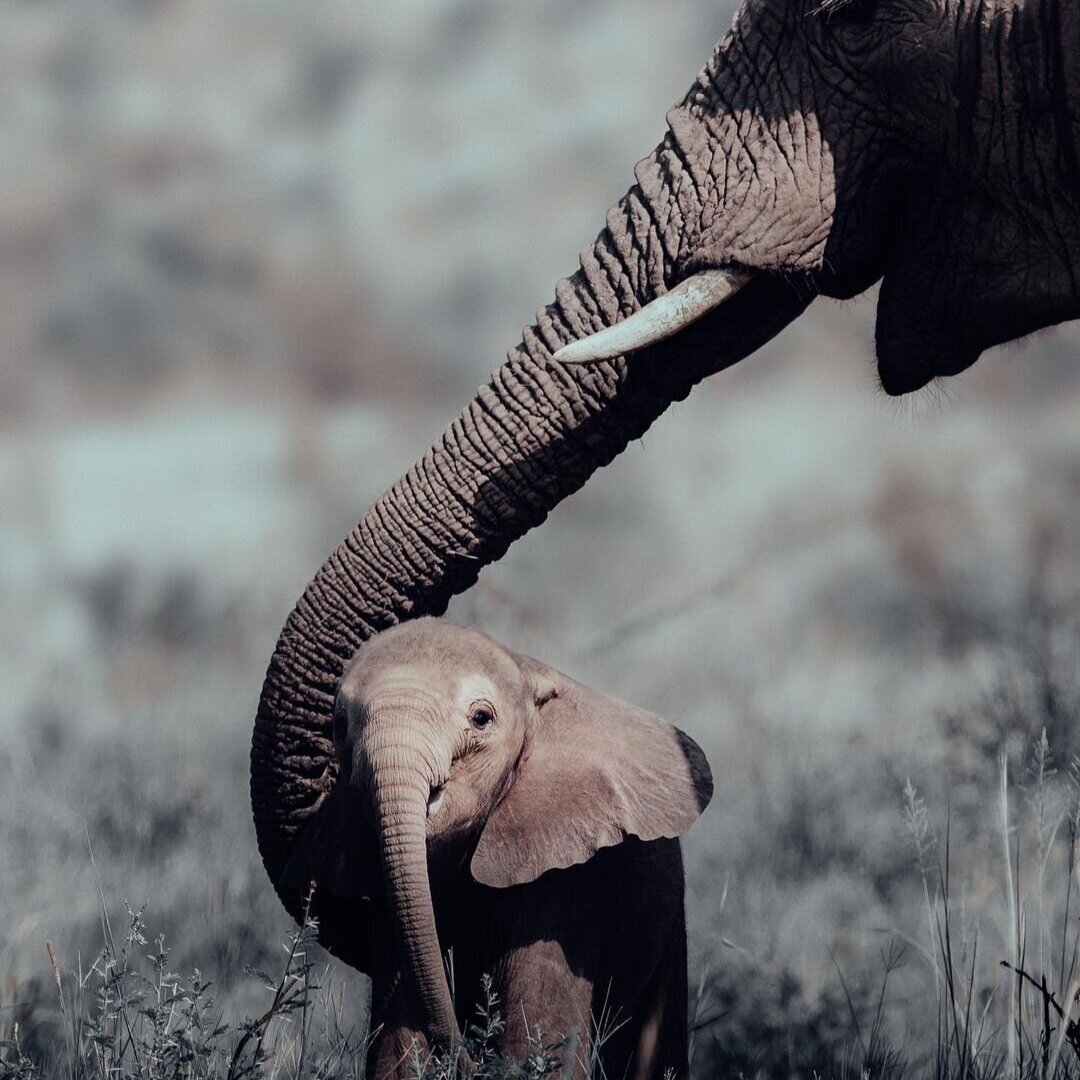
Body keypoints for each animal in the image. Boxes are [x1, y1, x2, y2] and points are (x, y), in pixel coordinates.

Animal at [277, 617, 713, 1079]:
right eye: (340, 724)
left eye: (481, 718)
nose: (466, 1056)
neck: (523, 673)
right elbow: (397, 1046)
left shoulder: (565, 878)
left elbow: (533, 1036)